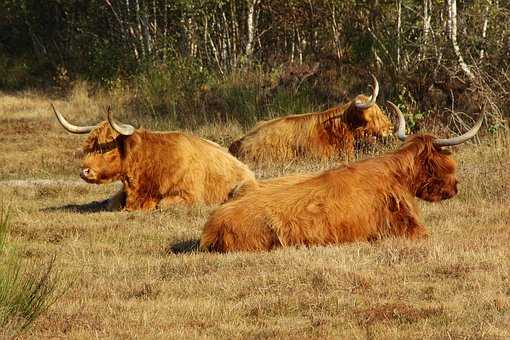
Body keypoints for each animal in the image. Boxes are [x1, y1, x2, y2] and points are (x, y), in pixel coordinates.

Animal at [51, 105, 255, 211]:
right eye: (89, 147)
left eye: (105, 147)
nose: (84, 171)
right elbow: (112, 203)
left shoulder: (190, 196)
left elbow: (162, 204)